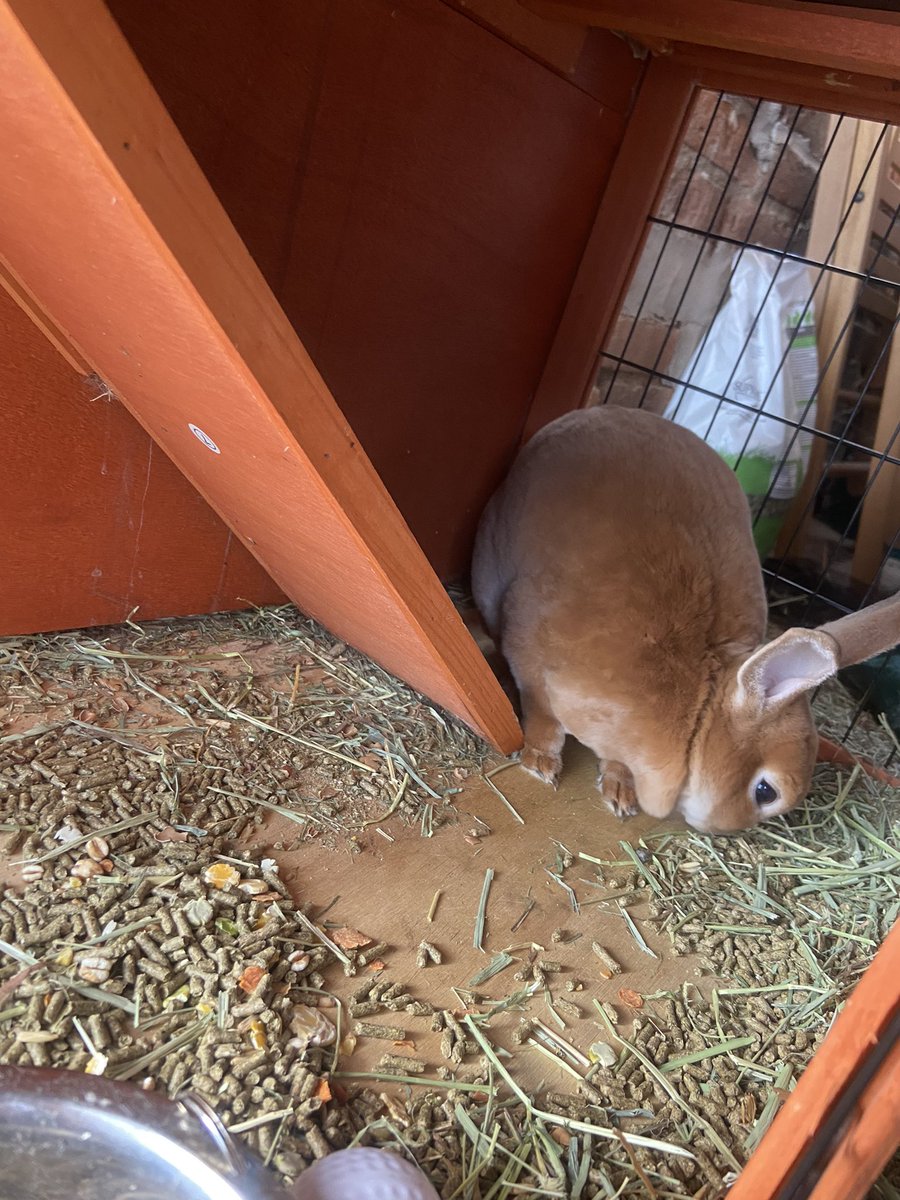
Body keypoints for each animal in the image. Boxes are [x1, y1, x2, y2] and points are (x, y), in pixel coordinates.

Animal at [471, 405, 900, 833]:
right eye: (765, 792)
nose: (727, 830)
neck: (698, 711)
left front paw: (621, 792)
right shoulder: (530, 644)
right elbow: (540, 709)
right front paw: (539, 760)